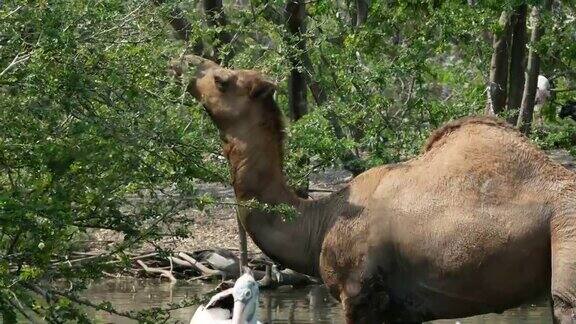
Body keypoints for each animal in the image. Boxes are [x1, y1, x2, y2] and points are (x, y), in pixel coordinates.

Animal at [172, 57, 576, 322]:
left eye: (222, 79)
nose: (184, 62)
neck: (319, 221)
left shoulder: (358, 293)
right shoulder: (402, 308)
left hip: (566, 244)